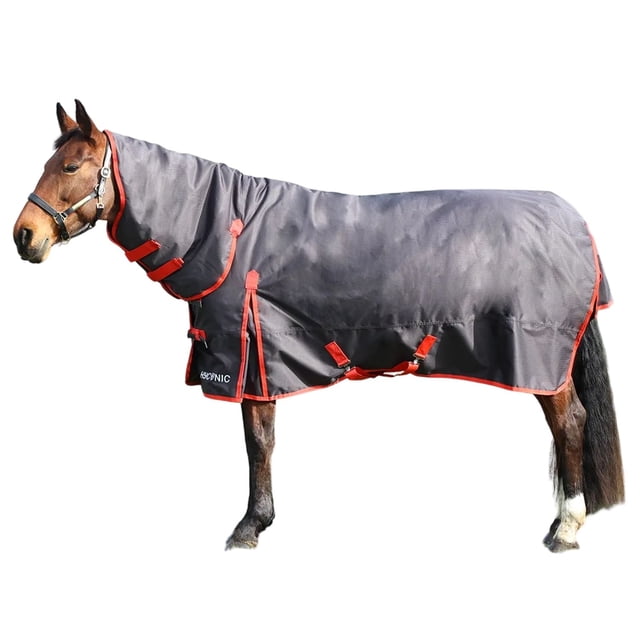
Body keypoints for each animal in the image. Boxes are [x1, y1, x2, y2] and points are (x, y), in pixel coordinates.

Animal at [13, 100, 624, 551]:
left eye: (70, 167)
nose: (24, 236)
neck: (231, 234)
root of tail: (575, 221)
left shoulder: (250, 356)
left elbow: (258, 442)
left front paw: (249, 527)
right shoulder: (260, 357)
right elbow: (261, 441)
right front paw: (259, 520)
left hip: (543, 357)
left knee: (570, 423)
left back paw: (566, 527)